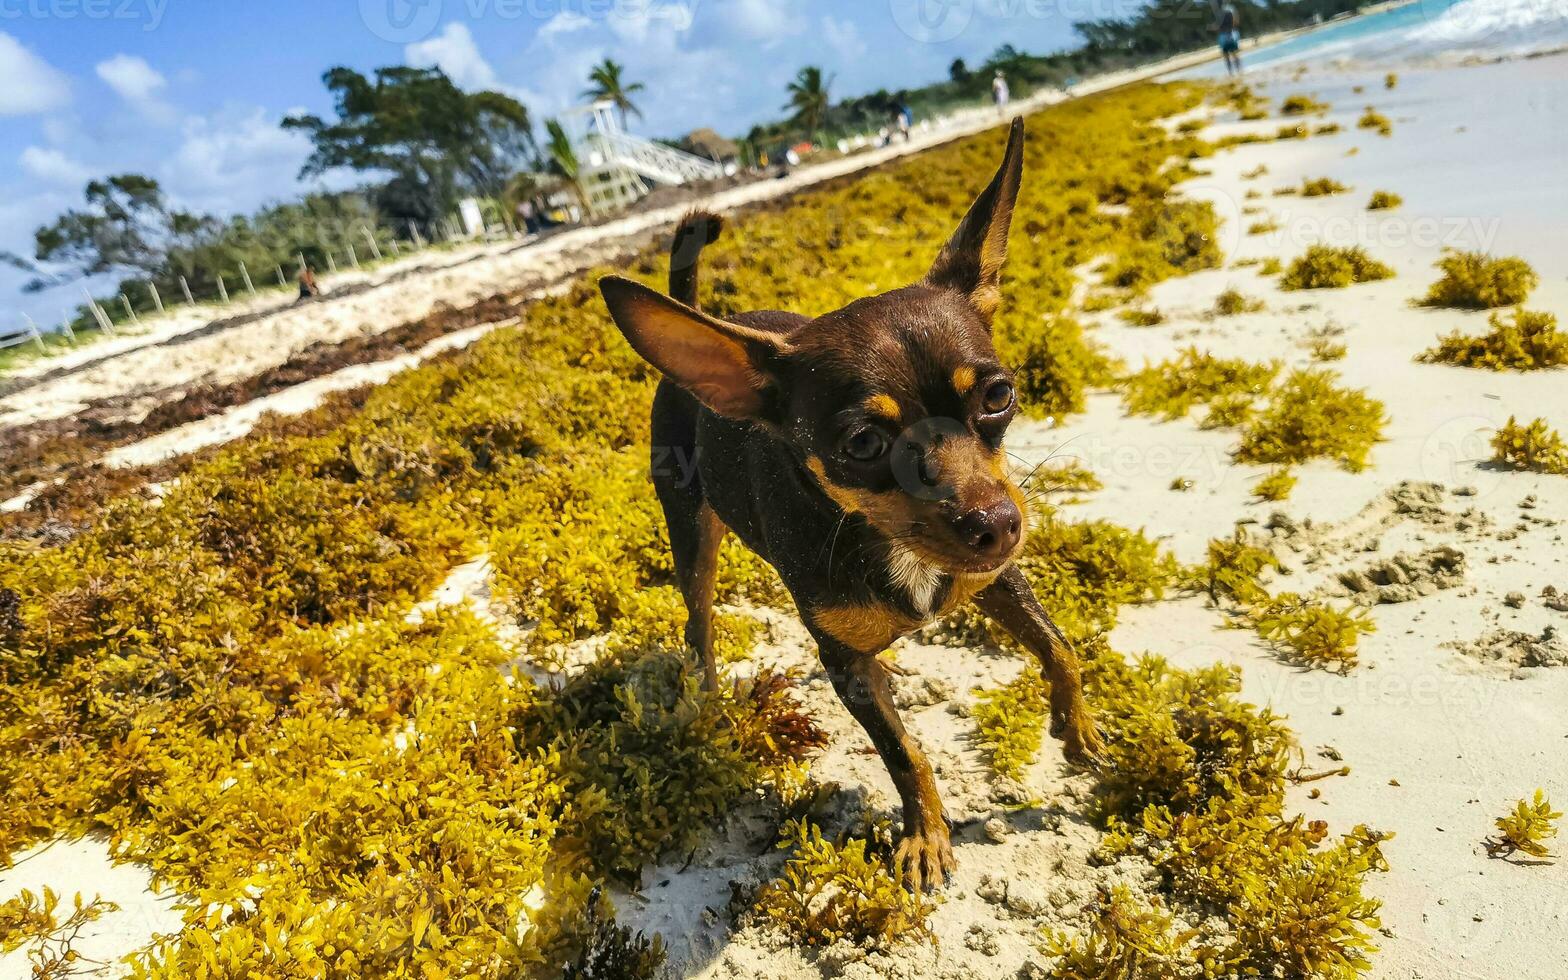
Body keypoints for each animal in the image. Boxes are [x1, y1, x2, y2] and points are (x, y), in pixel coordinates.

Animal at [595, 116, 1103, 884]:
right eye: (863, 443)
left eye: (999, 396)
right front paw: (925, 835)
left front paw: (1077, 727)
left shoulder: (997, 579)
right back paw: (707, 698)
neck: (879, 536)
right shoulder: (846, 667)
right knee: (698, 625)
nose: (997, 524)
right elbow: (902, 750)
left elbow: (1058, 645)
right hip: (692, 540)